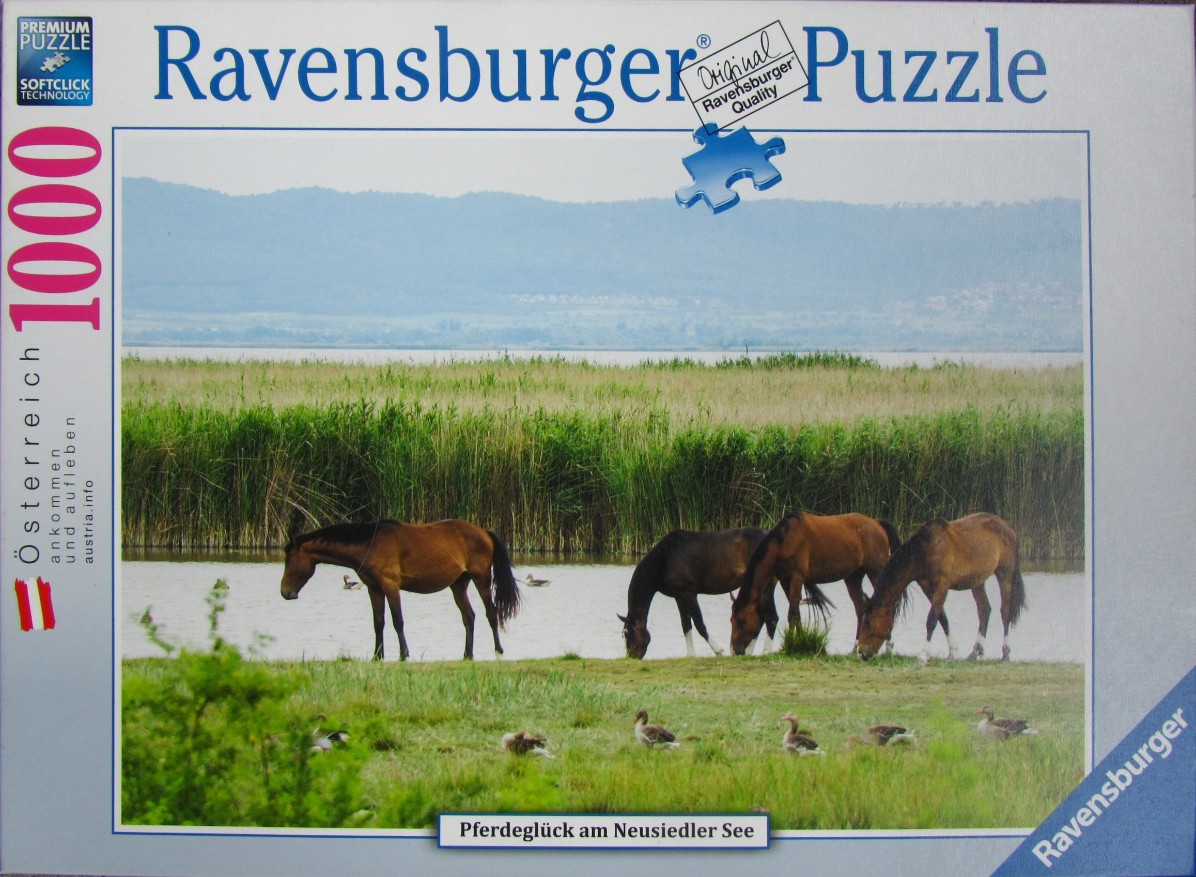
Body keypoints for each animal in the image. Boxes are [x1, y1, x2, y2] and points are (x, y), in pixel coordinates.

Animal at [279, 518, 522, 661]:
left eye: (289, 558)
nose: (285, 592)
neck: (370, 543)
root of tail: (484, 532)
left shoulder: (390, 585)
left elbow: (398, 621)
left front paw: (404, 654)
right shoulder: (374, 588)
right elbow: (378, 622)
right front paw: (377, 655)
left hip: (481, 578)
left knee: (491, 613)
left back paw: (498, 650)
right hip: (458, 584)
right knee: (469, 617)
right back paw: (467, 654)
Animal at [618, 527, 768, 659]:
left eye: (628, 633)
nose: (631, 656)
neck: (665, 558)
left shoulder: (688, 594)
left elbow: (699, 623)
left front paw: (718, 650)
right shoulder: (679, 596)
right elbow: (686, 624)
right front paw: (690, 654)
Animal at [729, 511, 902, 656]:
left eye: (741, 621)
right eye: (731, 620)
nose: (735, 650)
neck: (785, 541)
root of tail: (877, 523)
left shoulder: (797, 577)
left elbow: (792, 613)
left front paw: (792, 643)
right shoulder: (785, 579)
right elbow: (796, 611)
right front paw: (799, 640)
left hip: (875, 570)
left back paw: (888, 647)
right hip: (853, 577)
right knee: (861, 609)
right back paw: (855, 649)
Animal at [856, 512, 1026, 663]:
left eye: (868, 622)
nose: (862, 652)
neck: (926, 549)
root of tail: (1010, 529)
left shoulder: (942, 585)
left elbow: (932, 619)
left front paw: (924, 655)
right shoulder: (927, 587)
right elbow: (942, 618)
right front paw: (952, 653)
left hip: (1005, 574)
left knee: (1005, 612)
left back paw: (1005, 653)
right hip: (977, 581)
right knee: (984, 610)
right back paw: (974, 652)